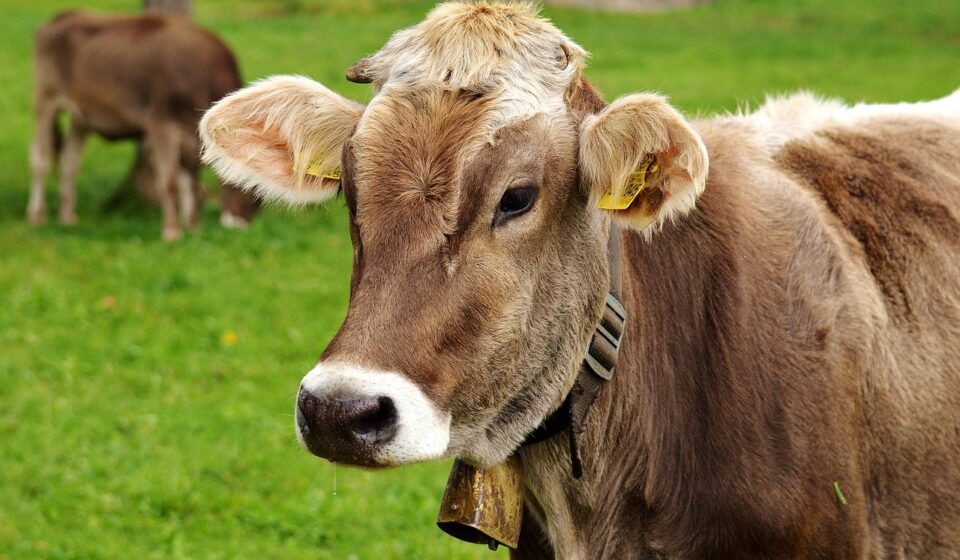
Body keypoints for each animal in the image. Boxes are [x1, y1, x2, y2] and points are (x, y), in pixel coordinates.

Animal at [28, 11, 260, 241]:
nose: (241, 225)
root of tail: (63, 15)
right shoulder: (161, 124)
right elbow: (169, 182)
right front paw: (172, 231)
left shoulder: (191, 137)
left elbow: (191, 182)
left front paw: (193, 228)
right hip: (46, 100)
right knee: (41, 158)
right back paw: (37, 215)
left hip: (81, 117)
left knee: (70, 161)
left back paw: (68, 216)